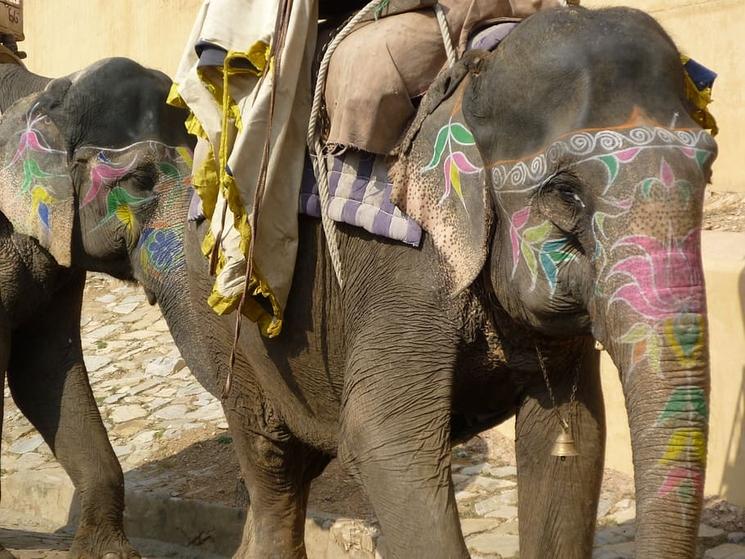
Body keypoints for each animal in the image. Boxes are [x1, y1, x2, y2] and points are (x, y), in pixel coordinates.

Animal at [0, 5, 718, 559]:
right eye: (565, 192)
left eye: (708, 170)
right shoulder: (409, 268)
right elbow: (384, 440)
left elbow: (571, 438)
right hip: (241, 338)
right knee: (273, 461)